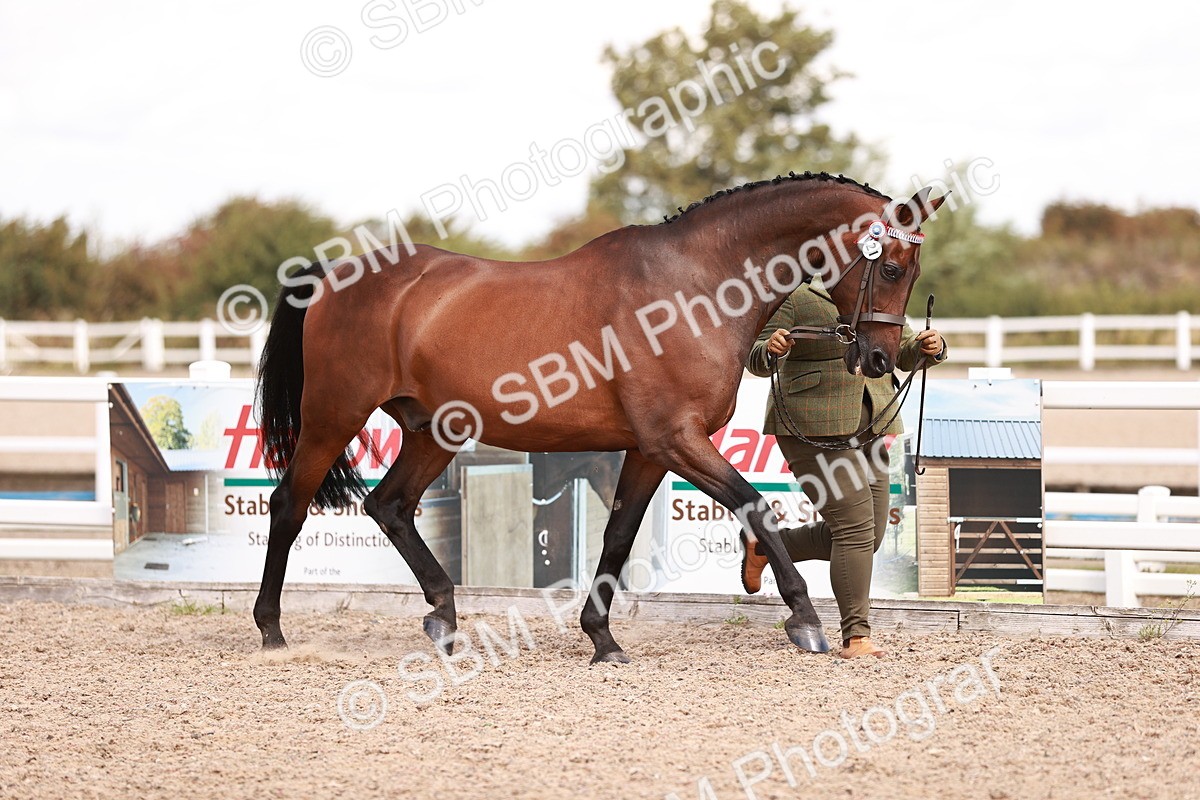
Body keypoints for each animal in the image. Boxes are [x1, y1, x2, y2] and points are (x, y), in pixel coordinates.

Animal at [253, 172, 946, 663]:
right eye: (889, 266)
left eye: (913, 273)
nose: (879, 358)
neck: (692, 286)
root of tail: (332, 275)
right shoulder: (677, 440)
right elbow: (755, 506)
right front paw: (804, 619)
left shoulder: (647, 451)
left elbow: (617, 537)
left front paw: (603, 640)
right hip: (332, 415)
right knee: (290, 504)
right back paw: (271, 630)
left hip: (433, 432)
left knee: (390, 505)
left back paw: (444, 618)